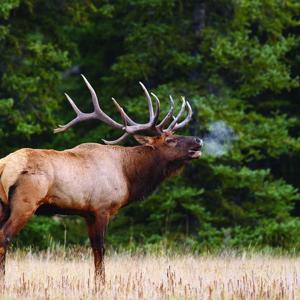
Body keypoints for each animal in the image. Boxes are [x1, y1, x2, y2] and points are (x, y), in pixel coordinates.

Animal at [0, 75, 204, 284]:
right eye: (170, 140)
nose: (198, 140)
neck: (128, 176)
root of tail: (6, 166)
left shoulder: (88, 213)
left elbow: (94, 250)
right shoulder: (102, 208)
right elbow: (101, 249)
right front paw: (101, 284)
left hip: (3, 205)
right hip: (26, 202)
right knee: (4, 237)